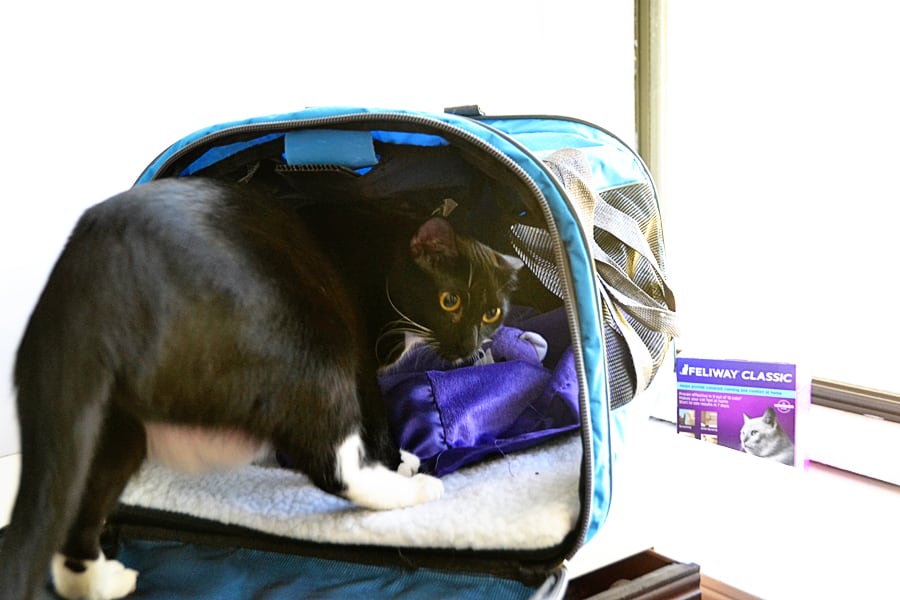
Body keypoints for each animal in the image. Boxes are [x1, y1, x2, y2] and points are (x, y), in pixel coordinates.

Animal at [0, 178, 520, 600]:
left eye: (492, 313)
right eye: (449, 301)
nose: (468, 348)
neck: (386, 245)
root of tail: (101, 272)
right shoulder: (362, 360)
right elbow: (377, 418)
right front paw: (400, 461)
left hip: (107, 420)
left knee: (76, 508)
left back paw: (100, 582)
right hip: (314, 343)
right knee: (332, 465)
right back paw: (411, 492)